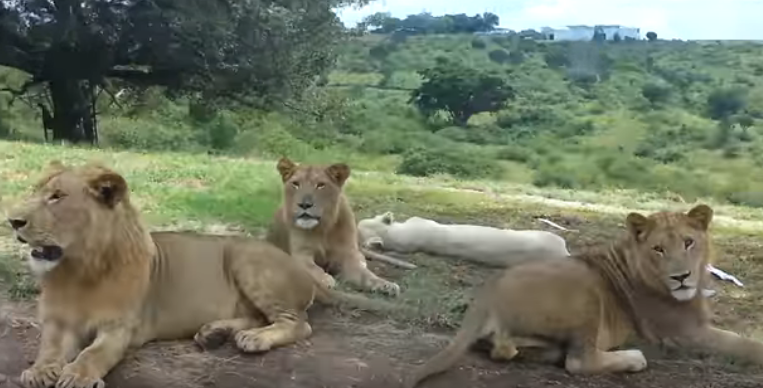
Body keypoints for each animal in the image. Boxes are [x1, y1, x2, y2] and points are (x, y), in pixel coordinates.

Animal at [268, 158, 402, 298]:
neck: (323, 228)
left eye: (320, 185)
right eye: (295, 184)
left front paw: (386, 285)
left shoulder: (347, 255)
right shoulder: (301, 255)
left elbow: (366, 275)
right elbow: (313, 268)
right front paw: (325, 280)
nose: (304, 204)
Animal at [408, 205, 763, 386]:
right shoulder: (686, 332)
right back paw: (633, 358)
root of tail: (487, 293)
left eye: (689, 242)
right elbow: (745, 344)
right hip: (587, 294)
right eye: (659, 249)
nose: (680, 277)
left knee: (507, 349)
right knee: (580, 361)